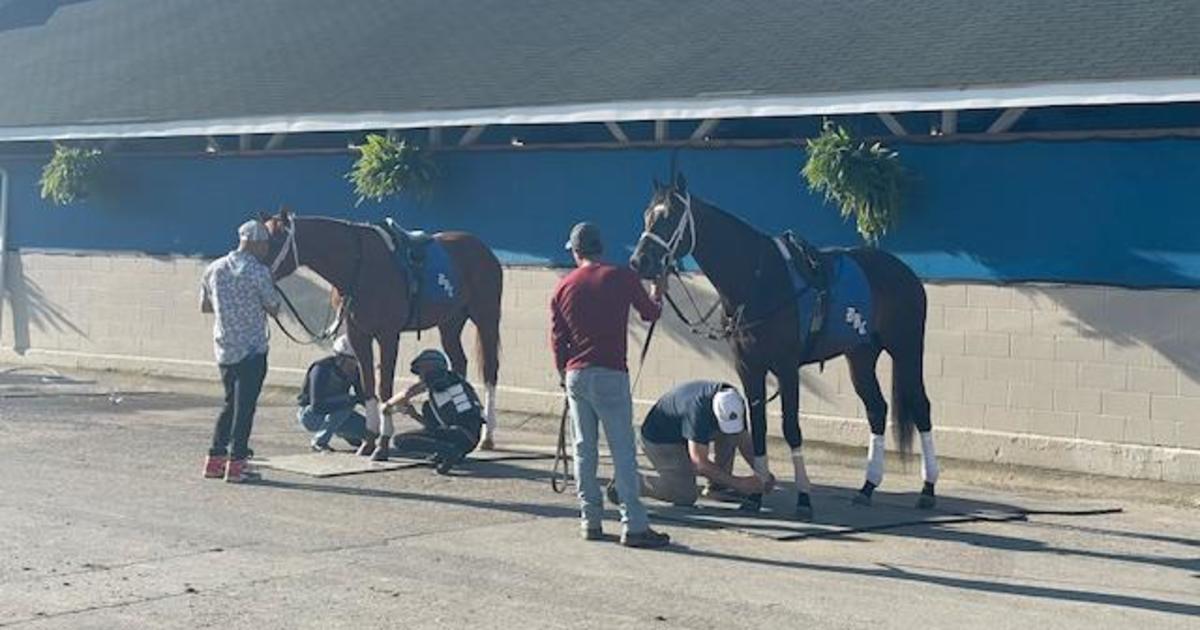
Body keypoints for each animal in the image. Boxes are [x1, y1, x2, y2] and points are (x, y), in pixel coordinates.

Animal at [262, 208, 501, 458]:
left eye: (274, 240)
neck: (359, 265)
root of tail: (482, 248)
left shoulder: (388, 336)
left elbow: (384, 387)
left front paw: (383, 444)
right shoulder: (359, 335)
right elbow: (368, 386)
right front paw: (369, 442)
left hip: (486, 318)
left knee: (490, 371)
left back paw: (487, 437)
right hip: (450, 323)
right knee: (459, 362)